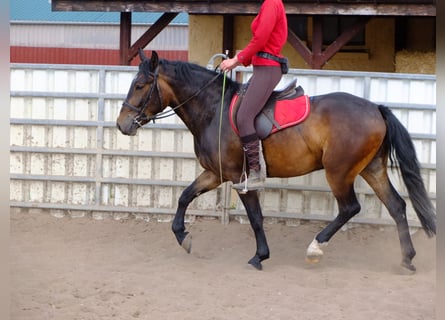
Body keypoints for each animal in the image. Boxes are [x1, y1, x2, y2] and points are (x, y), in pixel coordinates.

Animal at [116, 50, 436, 272]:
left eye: (141, 85)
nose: (122, 124)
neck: (213, 109)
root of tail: (376, 108)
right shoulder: (215, 173)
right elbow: (184, 196)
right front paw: (182, 236)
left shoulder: (238, 177)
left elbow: (255, 217)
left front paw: (260, 255)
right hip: (371, 168)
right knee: (396, 206)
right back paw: (407, 259)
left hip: (339, 172)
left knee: (350, 208)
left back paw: (315, 248)